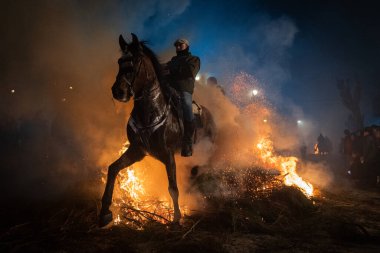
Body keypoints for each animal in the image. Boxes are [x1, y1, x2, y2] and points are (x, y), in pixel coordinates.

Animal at [99, 32, 215, 226]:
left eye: (136, 61)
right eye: (120, 61)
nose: (118, 91)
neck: (150, 111)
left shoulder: (168, 155)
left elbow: (173, 188)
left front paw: (176, 218)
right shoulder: (137, 150)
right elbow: (113, 169)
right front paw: (104, 213)